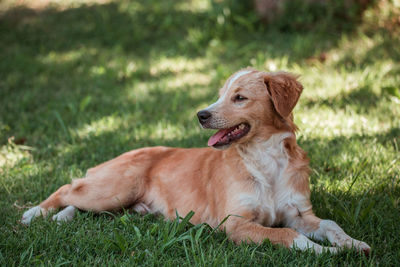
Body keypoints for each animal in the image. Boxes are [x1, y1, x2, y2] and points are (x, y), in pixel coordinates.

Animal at [20, 68, 370, 255]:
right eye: (220, 94)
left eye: (239, 97)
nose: (201, 115)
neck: (265, 159)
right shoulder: (235, 223)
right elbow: (289, 235)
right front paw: (326, 252)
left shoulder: (299, 214)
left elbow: (330, 224)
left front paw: (352, 244)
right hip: (114, 189)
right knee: (68, 188)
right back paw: (34, 212)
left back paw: (62, 217)